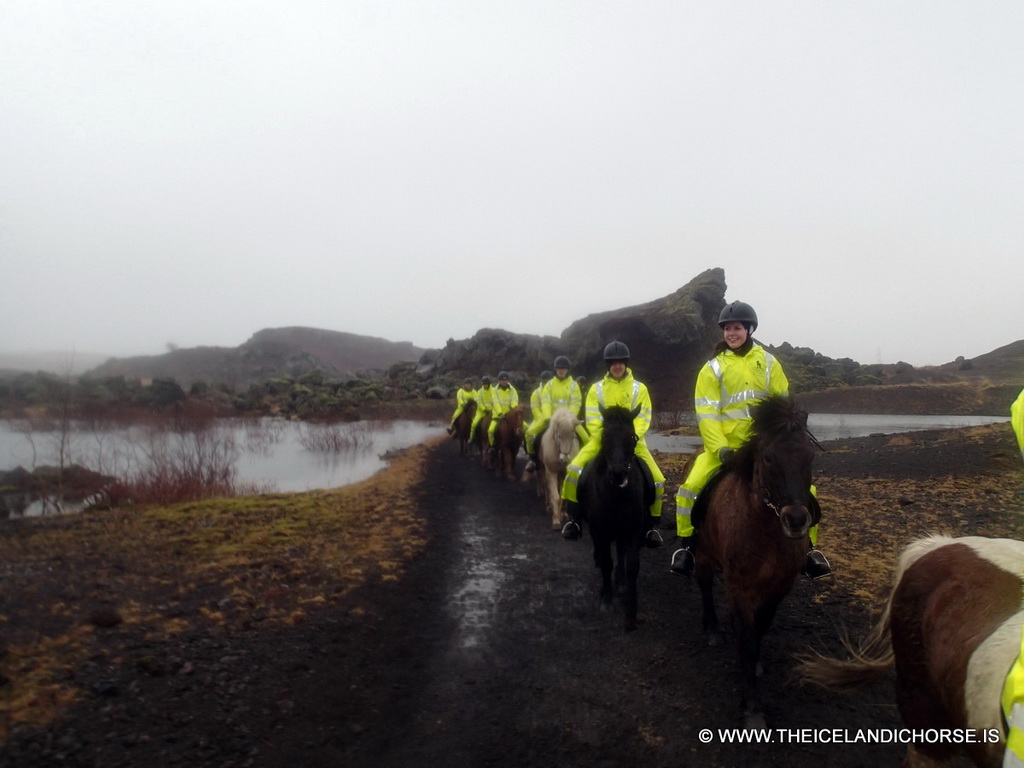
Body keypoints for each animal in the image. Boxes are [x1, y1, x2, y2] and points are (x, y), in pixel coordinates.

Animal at [577, 405, 647, 634]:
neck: (616, 494)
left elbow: (632, 565)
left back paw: (621, 582)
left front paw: (631, 610)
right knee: (602, 554)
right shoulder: (600, 531)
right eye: (605, 436)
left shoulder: (633, 530)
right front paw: (606, 599)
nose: (618, 473)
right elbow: (607, 563)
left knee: (621, 553)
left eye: (631, 437)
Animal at [688, 397, 815, 729]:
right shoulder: (739, 588)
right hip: (703, 556)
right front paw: (752, 708)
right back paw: (712, 629)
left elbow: (759, 629)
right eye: (768, 458)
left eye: (809, 456)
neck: (765, 530)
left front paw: (755, 666)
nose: (796, 520)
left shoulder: (779, 588)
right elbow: (746, 639)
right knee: (704, 586)